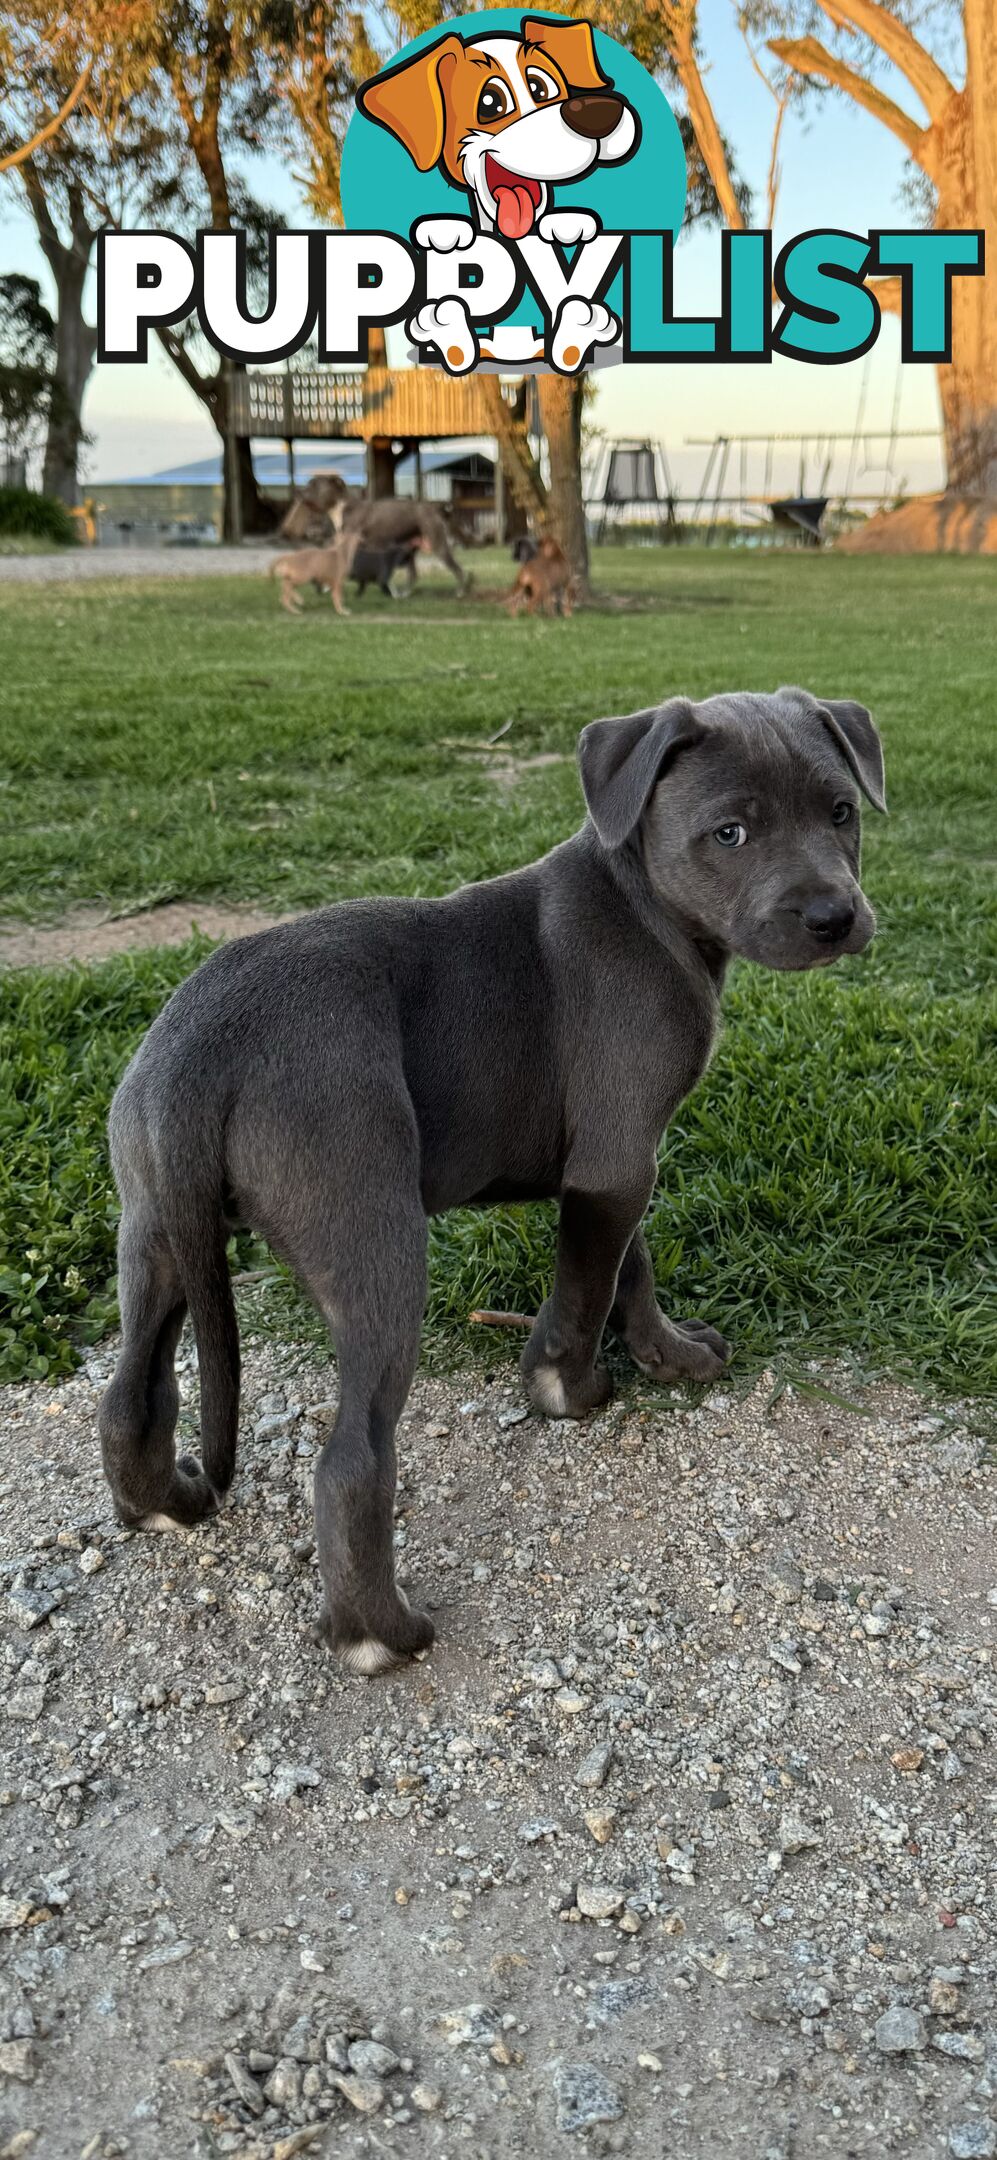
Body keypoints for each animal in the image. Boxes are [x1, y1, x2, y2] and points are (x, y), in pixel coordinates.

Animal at [97, 686, 884, 1667]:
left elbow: (630, 1268)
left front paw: (667, 1356)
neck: (644, 904)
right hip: (375, 1242)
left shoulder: (613, 1157)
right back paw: (381, 1635)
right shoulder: (616, 1161)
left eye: (841, 812)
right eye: (729, 833)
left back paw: (166, 1504)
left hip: (155, 1230)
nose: (831, 918)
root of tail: (203, 1053)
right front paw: (568, 1391)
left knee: (130, 1398)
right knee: (351, 1459)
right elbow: (590, 1287)